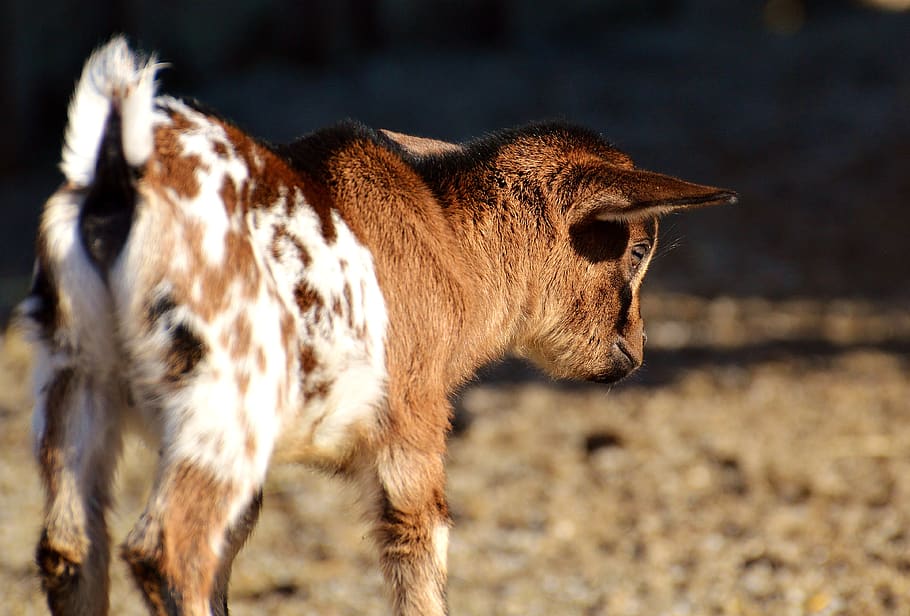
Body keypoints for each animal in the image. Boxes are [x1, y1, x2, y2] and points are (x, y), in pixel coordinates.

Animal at [18, 38, 736, 616]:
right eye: (635, 251)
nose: (633, 350)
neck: (453, 239)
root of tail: (118, 188)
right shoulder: (413, 420)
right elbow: (417, 551)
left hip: (75, 378)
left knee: (70, 549)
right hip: (224, 393)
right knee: (168, 548)